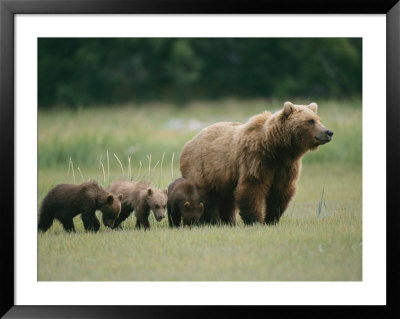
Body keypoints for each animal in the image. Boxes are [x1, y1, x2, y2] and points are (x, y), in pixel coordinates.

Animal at [180, 102, 332, 225]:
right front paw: (255, 220)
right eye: (310, 121)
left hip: (223, 177)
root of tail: (189, 142)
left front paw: (272, 219)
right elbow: (253, 188)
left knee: (226, 199)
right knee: (205, 196)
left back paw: (228, 221)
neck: (277, 149)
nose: (329, 132)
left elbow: (281, 191)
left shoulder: (286, 166)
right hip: (202, 167)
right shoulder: (256, 159)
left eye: (319, 119)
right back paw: (211, 220)